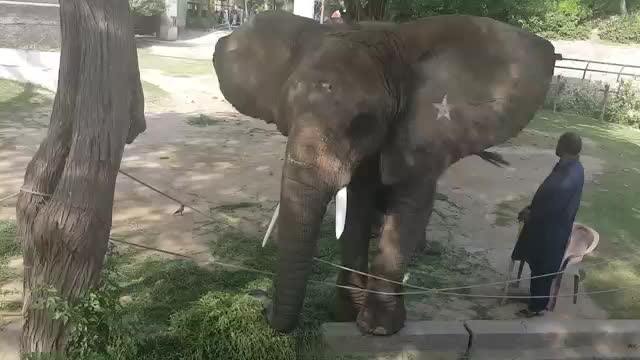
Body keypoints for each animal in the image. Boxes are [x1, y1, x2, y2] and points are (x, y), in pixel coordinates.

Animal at [214, 11, 556, 338]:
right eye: (284, 118)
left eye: (363, 123)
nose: (262, 308)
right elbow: (356, 208)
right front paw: (347, 314)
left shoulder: (422, 136)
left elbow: (408, 207)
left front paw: (378, 328)